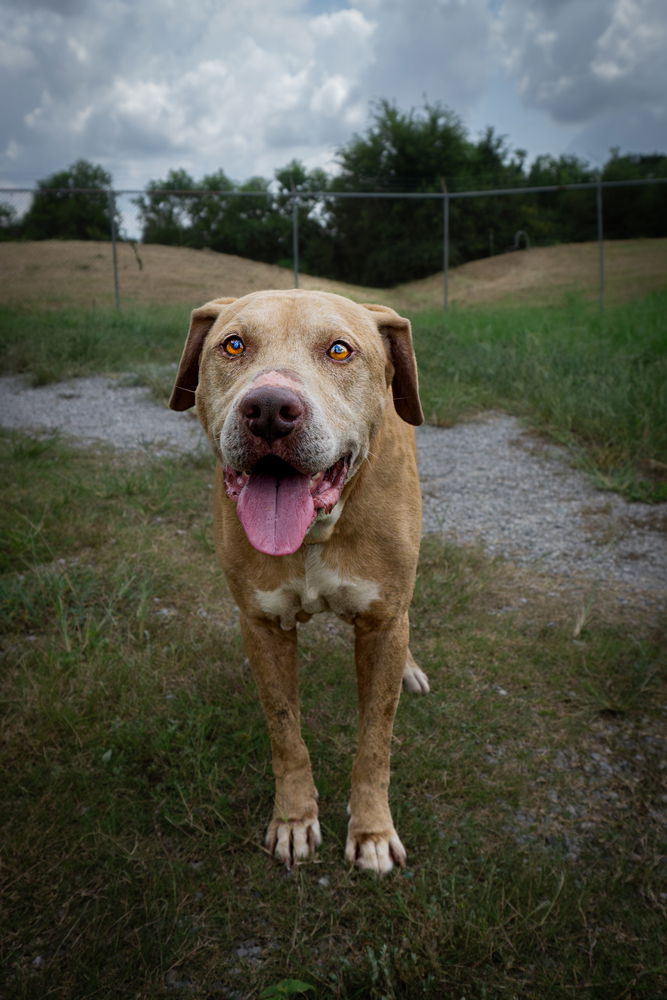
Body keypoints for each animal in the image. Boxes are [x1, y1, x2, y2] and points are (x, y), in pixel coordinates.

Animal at [170, 290, 430, 876]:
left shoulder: (381, 621)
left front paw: (372, 831)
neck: (315, 531)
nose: (269, 408)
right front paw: (293, 820)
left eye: (339, 350)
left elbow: (375, 740)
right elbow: (285, 732)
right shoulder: (263, 623)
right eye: (233, 345)